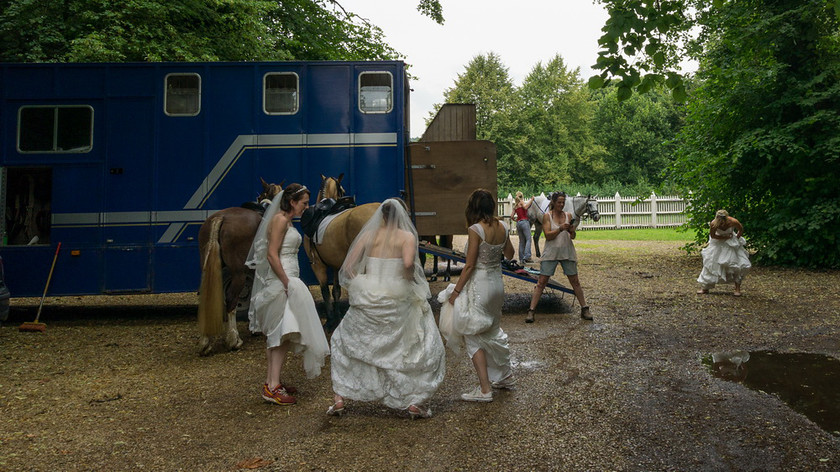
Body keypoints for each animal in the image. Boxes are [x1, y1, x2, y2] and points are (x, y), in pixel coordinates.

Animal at [304, 174, 378, 332]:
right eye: (343, 190)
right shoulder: (336, 265)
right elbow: (336, 291)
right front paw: (337, 317)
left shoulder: (317, 265)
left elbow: (325, 291)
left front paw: (330, 320)